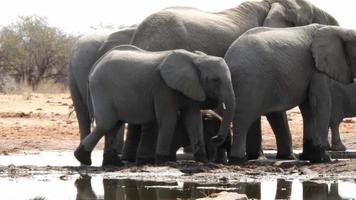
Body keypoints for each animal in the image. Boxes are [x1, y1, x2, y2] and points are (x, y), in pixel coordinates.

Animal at [73, 45, 235, 166]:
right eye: (215, 80)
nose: (215, 137)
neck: (195, 59)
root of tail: (94, 67)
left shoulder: (192, 88)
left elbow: (193, 120)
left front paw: (203, 161)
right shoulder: (163, 87)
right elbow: (169, 119)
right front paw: (163, 161)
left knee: (114, 125)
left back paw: (113, 163)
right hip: (101, 89)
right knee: (107, 123)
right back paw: (82, 158)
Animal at [125, 0, 340, 161]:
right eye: (314, 19)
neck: (272, 3)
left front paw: (256, 156)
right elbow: (273, 111)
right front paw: (281, 158)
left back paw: (131, 159)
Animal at [214, 23, 356, 164]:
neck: (339, 30)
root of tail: (228, 58)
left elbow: (308, 108)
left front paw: (308, 156)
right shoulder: (317, 68)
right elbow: (319, 102)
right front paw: (324, 159)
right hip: (250, 81)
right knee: (243, 120)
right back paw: (238, 160)